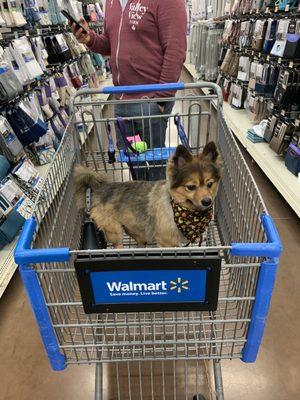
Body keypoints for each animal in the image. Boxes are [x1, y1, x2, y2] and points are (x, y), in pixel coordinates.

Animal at [74, 141, 221, 247]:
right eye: (191, 187)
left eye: (210, 184)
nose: (207, 201)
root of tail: (97, 191)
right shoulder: (166, 243)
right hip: (113, 229)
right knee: (118, 244)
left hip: (132, 224)